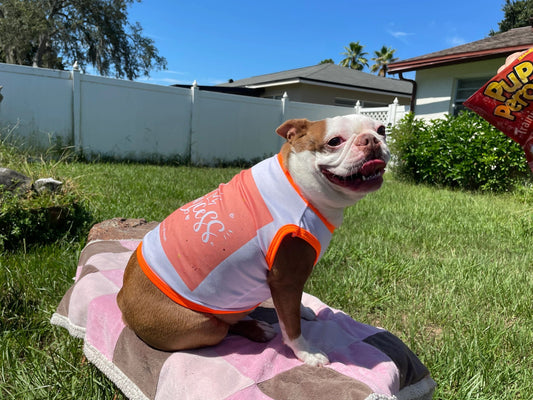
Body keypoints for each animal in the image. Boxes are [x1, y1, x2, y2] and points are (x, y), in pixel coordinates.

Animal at [117, 114, 390, 368]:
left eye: (382, 129)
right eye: (334, 141)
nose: (371, 140)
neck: (298, 183)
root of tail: (121, 297)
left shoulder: (294, 279)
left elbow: (295, 304)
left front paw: (303, 310)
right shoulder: (286, 279)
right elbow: (291, 325)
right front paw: (306, 352)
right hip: (202, 325)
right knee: (223, 326)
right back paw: (257, 328)